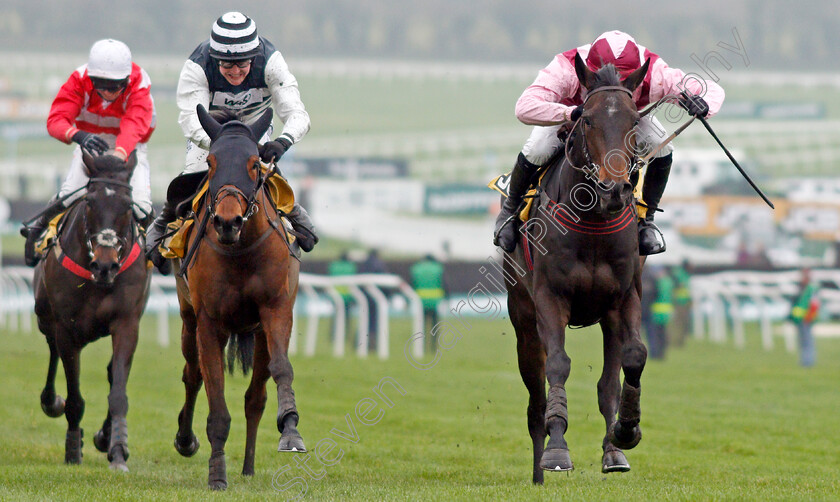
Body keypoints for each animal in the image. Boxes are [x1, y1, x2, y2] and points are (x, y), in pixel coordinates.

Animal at [32, 152, 152, 470]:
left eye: (127, 205)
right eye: (89, 202)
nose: (106, 265)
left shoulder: (127, 322)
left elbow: (118, 390)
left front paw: (118, 450)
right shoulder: (66, 327)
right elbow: (74, 398)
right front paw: (73, 450)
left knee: (111, 372)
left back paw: (104, 436)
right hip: (45, 318)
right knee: (52, 351)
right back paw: (51, 402)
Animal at [172, 105, 304, 490]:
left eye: (254, 163)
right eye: (211, 162)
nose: (227, 222)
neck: (241, 251)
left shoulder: (276, 311)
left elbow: (281, 369)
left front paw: (290, 430)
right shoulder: (209, 323)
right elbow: (214, 396)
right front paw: (217, 474)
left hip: (257, 332)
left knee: (254, 398)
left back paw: (248, 465)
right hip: (188, 320)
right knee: (192, 374)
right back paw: (185, 440)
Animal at [506, 54, 648, 482]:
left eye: (634, 120)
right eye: (587, 120)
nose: (614, 190)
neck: (594, 224)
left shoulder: (622, 300)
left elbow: (630, 361)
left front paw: (625, 431)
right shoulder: (549, 299)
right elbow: (558, 365)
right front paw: (557, 450)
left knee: (607, 383)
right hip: (522, 320)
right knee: (535, 399)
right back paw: (539, 470)